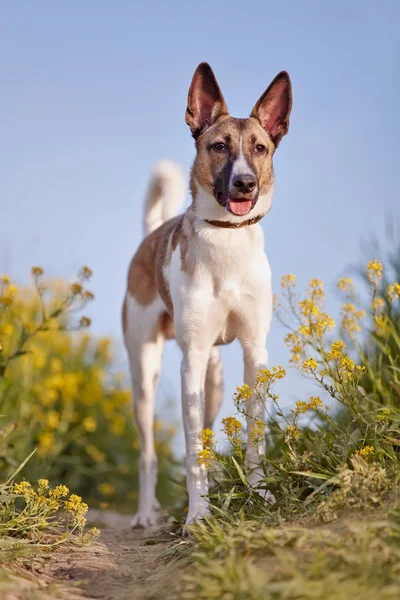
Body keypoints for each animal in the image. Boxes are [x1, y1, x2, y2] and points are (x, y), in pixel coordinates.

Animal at [121, 62, 290, 528]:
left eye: (260, 148)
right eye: (218, 146)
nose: (245, 184)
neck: (226, 239)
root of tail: (149, 236)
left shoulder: (254, 352)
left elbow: (254, 437)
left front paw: (260, 494)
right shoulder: (190, 361)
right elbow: (192, 449)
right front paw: (198, 515)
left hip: (213, 377)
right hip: (145, 372)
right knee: (147, 454)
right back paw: (146, 513)